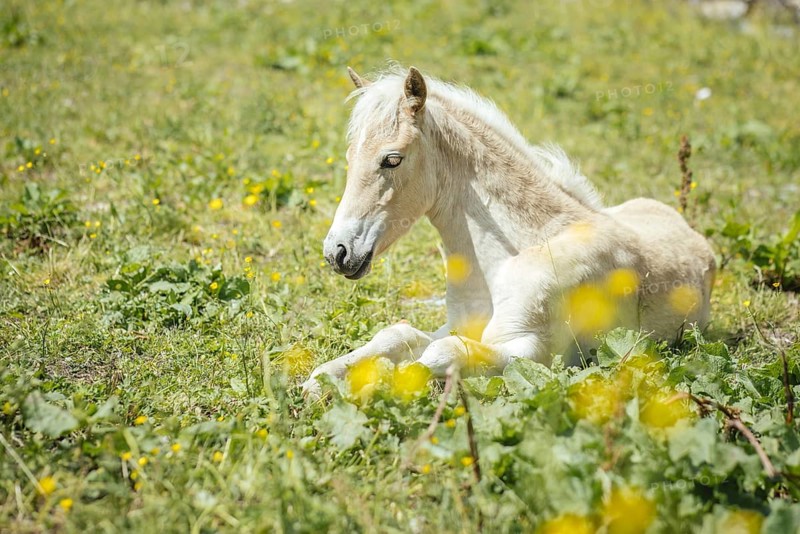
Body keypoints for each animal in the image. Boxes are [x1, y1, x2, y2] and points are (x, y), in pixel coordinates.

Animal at [302, 65, 716, 398]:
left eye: (392, 159)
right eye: (349, 157)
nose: (337, 252)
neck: (509, 258)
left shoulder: (537, 353)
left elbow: (436, 356)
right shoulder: (456, 326)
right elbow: (397, 334)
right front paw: (318, 381)